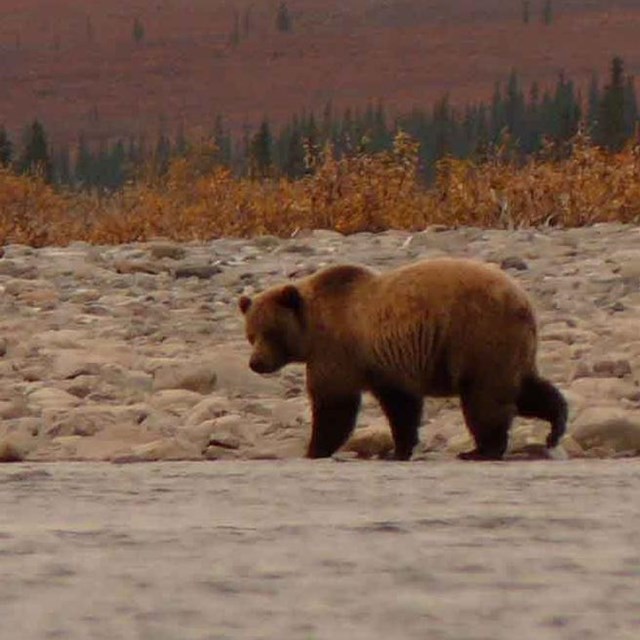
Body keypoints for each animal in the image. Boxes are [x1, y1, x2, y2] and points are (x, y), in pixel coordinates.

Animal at [238, 258, 568, 462]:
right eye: (251, 334)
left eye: (271, 332)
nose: (256, 363)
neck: (311, 329)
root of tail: (522, 299)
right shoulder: (385, 366)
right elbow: (401, 407)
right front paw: (399, 449)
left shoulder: (337, 352)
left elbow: (335, 406)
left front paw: (314, 449)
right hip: (510, 347)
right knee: (525, 390)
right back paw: (555, 428)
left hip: (478, 335)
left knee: (484, 398)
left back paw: (481, 450)